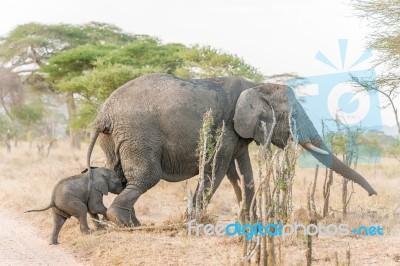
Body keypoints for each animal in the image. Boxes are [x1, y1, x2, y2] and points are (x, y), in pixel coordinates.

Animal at [86, 73, 376, 227]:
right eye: (291, 117)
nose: (374, 195)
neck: (257, 85)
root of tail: (104, 115)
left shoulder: (239, 132)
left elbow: (242, 174)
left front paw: (251, 222)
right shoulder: (225, 127)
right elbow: (216, 169)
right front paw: (194, 221)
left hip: (116, 137)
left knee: (119, 175)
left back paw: (124, 221)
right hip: (137, 132)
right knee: (146, 176)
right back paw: (124, 222)